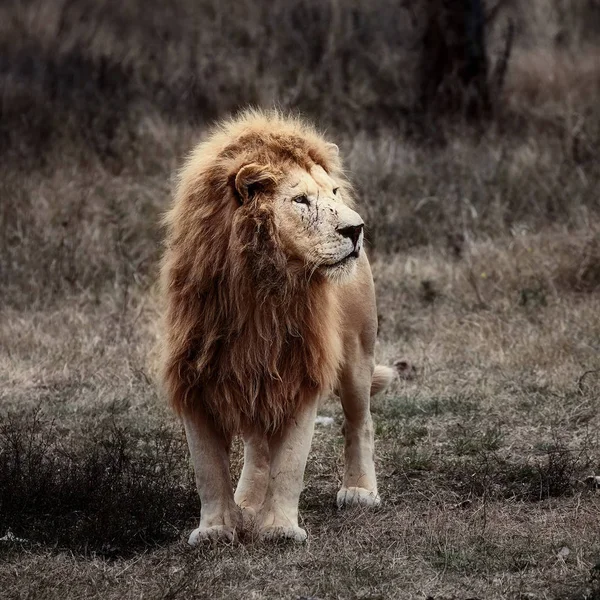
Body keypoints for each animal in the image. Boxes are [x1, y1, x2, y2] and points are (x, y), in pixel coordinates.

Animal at [161, 109, 394, 544]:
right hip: (255, 379)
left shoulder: (302, 370)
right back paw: (249, 499)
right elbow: (207, 467)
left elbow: (290, 462)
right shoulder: (194, 374)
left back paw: (359, 491)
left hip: (358, 355)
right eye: (300, 200)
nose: (356, 229)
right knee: (257, 446)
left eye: (334, 192)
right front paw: (216, 529)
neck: (259, 289)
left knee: (360, 422)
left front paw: (280, 530)